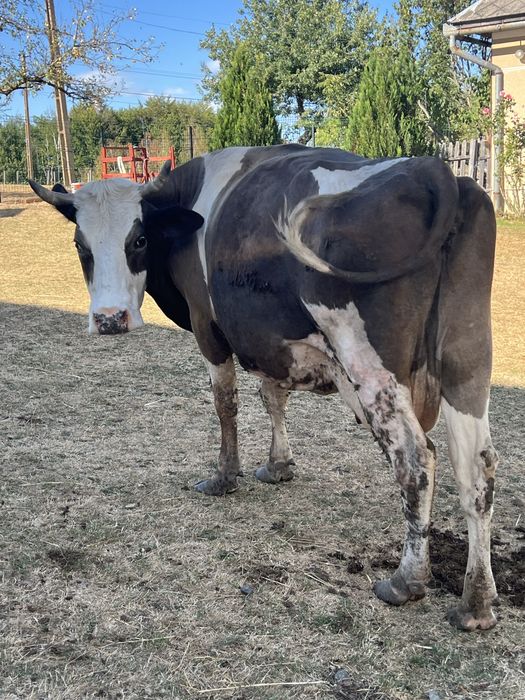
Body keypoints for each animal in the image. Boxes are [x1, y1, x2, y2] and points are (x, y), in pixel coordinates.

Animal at [29, 144, 499, 631]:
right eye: (80, 245)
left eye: (138, 240)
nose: (109, 319)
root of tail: (433, 170)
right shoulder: (269, 340)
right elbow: (273, 396)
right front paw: (279, 465)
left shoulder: (209, 328)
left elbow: (225, 404)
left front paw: (224, 477)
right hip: (467, 363)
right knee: (477, 469)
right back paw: (476, 602)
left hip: (371, 366)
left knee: (416, 459)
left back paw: (406, 580)